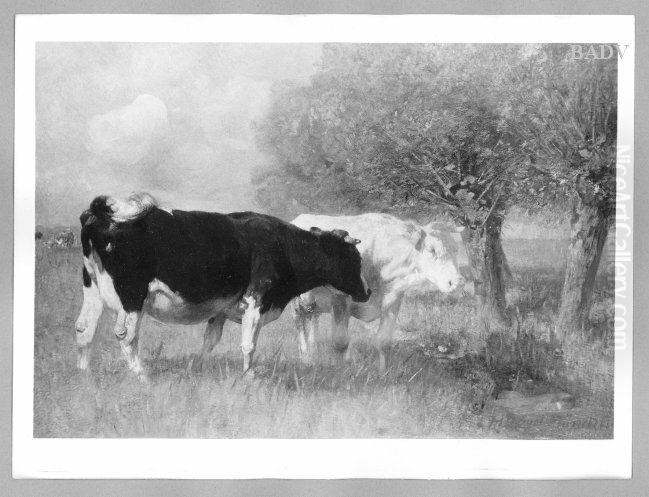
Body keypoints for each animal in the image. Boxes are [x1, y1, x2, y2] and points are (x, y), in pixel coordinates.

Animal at [75, 193, 371, 380]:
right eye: (353, 259)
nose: (367, 291)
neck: (281, 245)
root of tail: (99, 214)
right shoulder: (256, 299)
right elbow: (248, 344)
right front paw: (249, 376)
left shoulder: (220, 310)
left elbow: (210, 341)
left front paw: (199, 369)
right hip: (132, 296)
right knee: (126, 336)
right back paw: (142, 377)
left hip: (92, 290)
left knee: (84, 328)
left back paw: (84, 376)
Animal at [291, 213, 463, 371]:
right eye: (431, 250)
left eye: (456, 250)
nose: (455, 281)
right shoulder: (340, 299)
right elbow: (340, 342)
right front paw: (340, 371)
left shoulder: (393, 300)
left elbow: (383, 342)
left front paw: (382, 373)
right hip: (298, 302)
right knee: (300, 323)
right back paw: (305, 359)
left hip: (314, 303)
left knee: (312, 321)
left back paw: (314, 354)